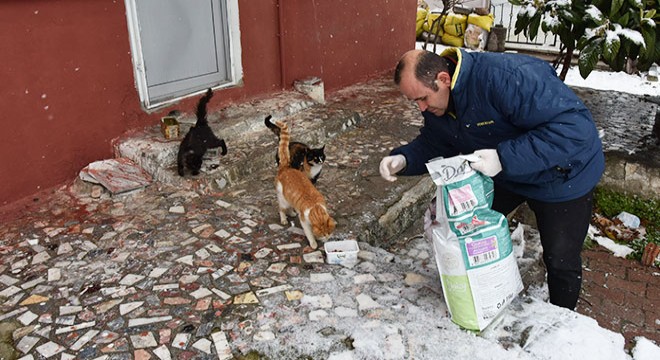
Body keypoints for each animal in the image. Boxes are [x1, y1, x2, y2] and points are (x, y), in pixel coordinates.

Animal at [274, 119, 336, 249]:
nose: (327, 239)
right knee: (281, 208)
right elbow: (309, 233)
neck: (315, 208)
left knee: (290, 206)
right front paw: (313, 243)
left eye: (329, 233)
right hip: (282, 198)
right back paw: (284, 219)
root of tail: (286, 167)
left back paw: (292, 213)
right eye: (323, 235)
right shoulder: (304, 221)